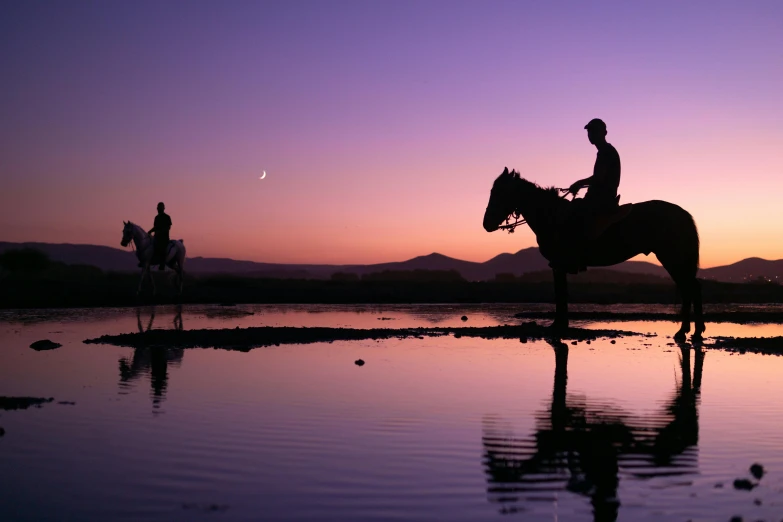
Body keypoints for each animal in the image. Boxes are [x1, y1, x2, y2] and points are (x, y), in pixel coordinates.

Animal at [484, 166, 704, 338]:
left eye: (499, 192)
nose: (486, 224)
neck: (552, 216)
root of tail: (683, 214)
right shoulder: (558, 265)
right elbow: (561, 294)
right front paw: (560, 324)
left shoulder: (558, 264)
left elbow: (560, 294)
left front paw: (558, 325)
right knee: (690, 288)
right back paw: (692, 331)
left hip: (673, 258)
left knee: (690, 288)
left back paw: (686, 332)